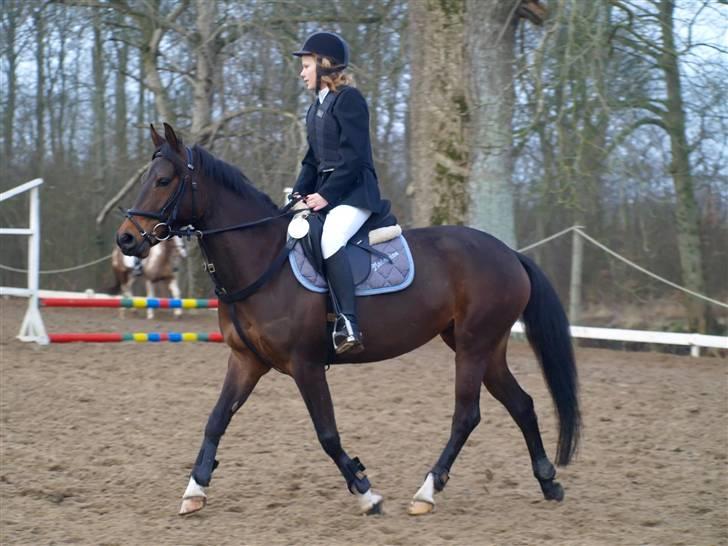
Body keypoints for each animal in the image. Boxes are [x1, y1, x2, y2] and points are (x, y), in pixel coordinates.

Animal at [115, 123, 580, 516]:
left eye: (164, 181)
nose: (126, 239)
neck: (263, 260)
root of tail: (510, 255)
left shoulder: (305, 365)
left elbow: (327, 433)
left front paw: (367, 493)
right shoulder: (246, 361)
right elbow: (216, 420)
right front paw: (194, 491)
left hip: (472, 346)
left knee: (467, 415)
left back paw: (427, 492)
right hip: (486, 347)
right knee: (522, 404)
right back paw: (548, 482)